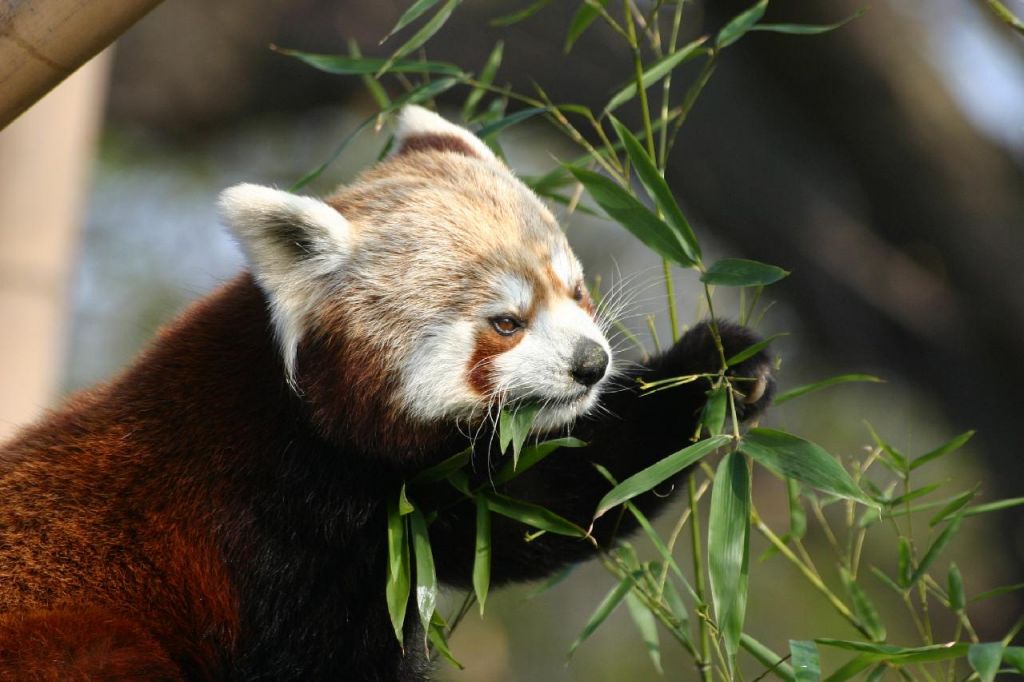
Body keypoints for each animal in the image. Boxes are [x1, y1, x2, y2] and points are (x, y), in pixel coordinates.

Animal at [0, 106, 773, 680]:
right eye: (506, 322)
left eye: (574, 288)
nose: (591, 362)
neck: (304, 419)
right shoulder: (269, 527)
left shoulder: (416, 504)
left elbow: (547, 503)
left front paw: (719, 367)